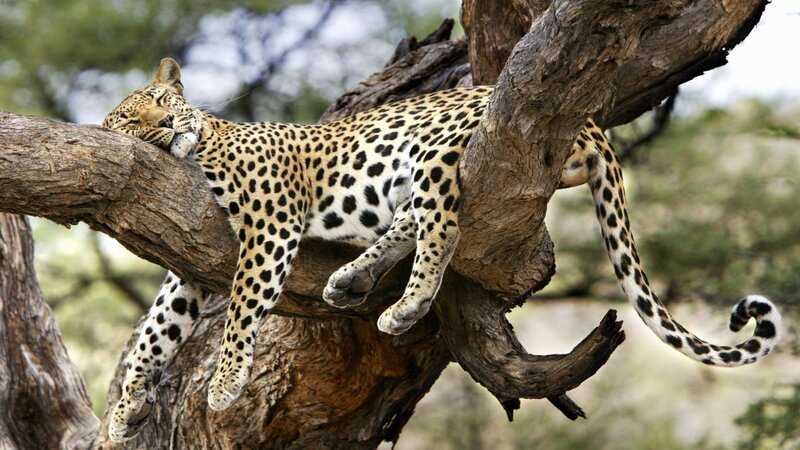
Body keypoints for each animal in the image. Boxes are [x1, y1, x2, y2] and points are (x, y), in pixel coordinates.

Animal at [102, 58, 782, 442]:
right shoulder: (189, 265)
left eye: (161, 103)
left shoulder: (270, 225)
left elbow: (242, 310)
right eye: (132, 122)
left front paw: (222, 386)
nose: (167, 126)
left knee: (443, 225)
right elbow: (155, 331)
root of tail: (590, 121)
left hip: (433, 149)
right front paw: (125, 410)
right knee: (414, 220)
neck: (201, 147)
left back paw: (403, 306)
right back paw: (352, 279)